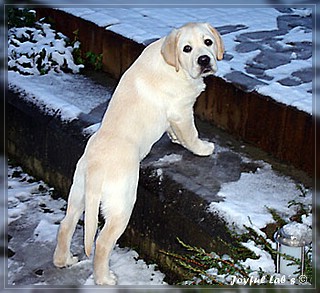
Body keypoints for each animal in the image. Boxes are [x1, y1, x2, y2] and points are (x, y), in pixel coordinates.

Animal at [53, 23, 222, 286]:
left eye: (208, 42)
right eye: (187, 49)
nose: (204, 60)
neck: (173, 64)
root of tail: (96, 168)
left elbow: (176, 132)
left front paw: (175, 139)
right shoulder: (182, 111)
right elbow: (191, 134)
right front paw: (203, 148)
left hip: (79, 192)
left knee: (65, 224)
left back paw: (64, 260)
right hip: (122, 204)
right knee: (102, 242)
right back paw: (104, 279)